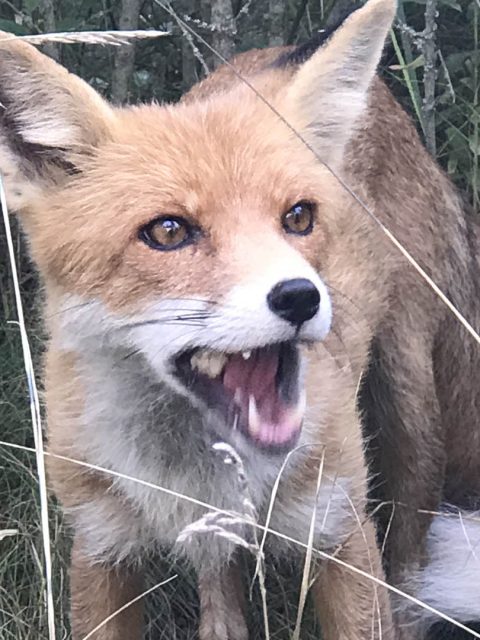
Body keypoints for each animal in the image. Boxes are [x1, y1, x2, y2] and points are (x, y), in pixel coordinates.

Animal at [1, 0, 480, 637]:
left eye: (299, 217)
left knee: (409, 554)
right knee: (220, 579)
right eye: (168, 231)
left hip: (411, 412)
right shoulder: (101, 549)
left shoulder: (339, 530)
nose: (301, 297)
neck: (191, 475)